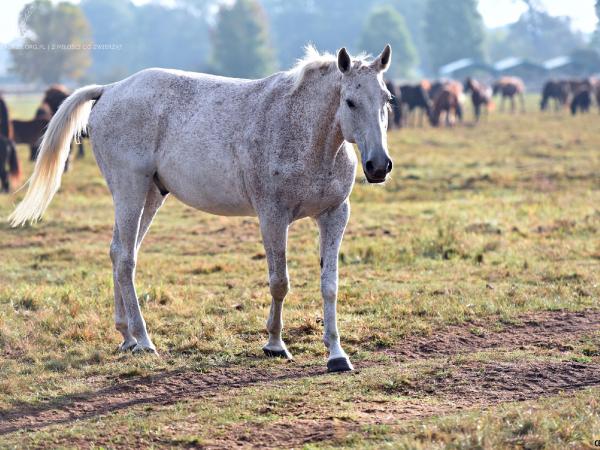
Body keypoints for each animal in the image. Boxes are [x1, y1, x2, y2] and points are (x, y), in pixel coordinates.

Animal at [10, 44, 394, 372]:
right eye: (349, 101)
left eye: (386, 100)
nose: (378, 166)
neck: (304, 131)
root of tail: (110, 89)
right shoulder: (273, 217)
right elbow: (279, 282)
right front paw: (274, 345)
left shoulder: (334, 216)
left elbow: (330, 285)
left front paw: (337, 355)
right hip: (129, 189)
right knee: (125, 257)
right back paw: (144, 340)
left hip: (150, 195)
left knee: (119, 251)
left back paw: (127, 337)